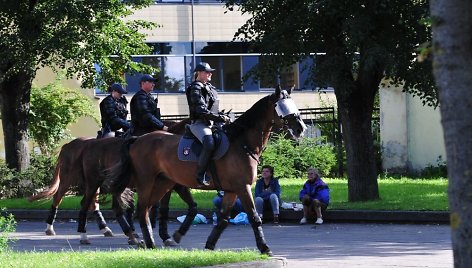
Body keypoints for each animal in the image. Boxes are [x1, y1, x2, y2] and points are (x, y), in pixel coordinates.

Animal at [28, 119, 196, 245]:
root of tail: (70, 145)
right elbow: (159, 209)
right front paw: (161, 235)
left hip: (93, 184)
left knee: (91, 203)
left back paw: (106, 229)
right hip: (71, 180)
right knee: (61, 198)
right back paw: (55, 229)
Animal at [103, 85, 306, 253]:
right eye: (282, 107)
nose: (301, 129)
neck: (241, 143)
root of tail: (137, 139)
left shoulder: (231, 191)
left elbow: (223, 219)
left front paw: (208, 245)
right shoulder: (243, 188)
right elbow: (255, 217)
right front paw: (264, 248)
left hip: (162, 184)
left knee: (145, 209)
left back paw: (148, 241)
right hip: (146, 183)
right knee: (141, 210)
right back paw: (146, 241)